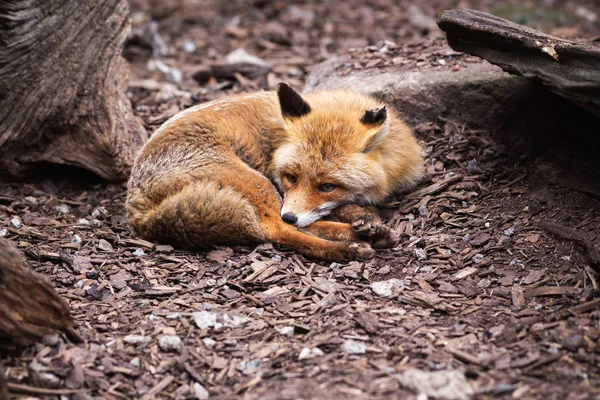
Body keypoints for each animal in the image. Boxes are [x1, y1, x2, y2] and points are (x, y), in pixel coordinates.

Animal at [126, 83, 424, 260]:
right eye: (290, 177)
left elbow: (332, 209)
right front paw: (361, 224)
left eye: (327, 186)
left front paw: (364, 218)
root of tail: (136, 207)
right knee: (277, 230)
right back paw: (350, 248)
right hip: (256, 183)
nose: (291, 215)